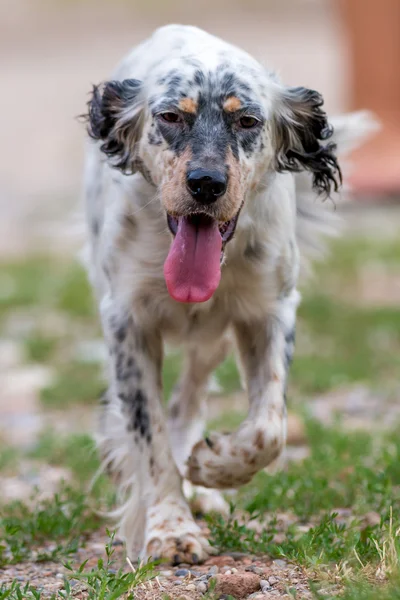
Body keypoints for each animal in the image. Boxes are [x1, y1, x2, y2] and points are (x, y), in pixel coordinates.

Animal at [83, 24, 374, 568]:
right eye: (171, 117)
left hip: (213, 339)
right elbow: (149, 438)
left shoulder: (270, 311)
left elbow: (268, 428)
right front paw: (170, 529)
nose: (206, 183)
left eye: (247, 120)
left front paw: (213, 465)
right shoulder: (127, 323)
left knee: (188, 403)